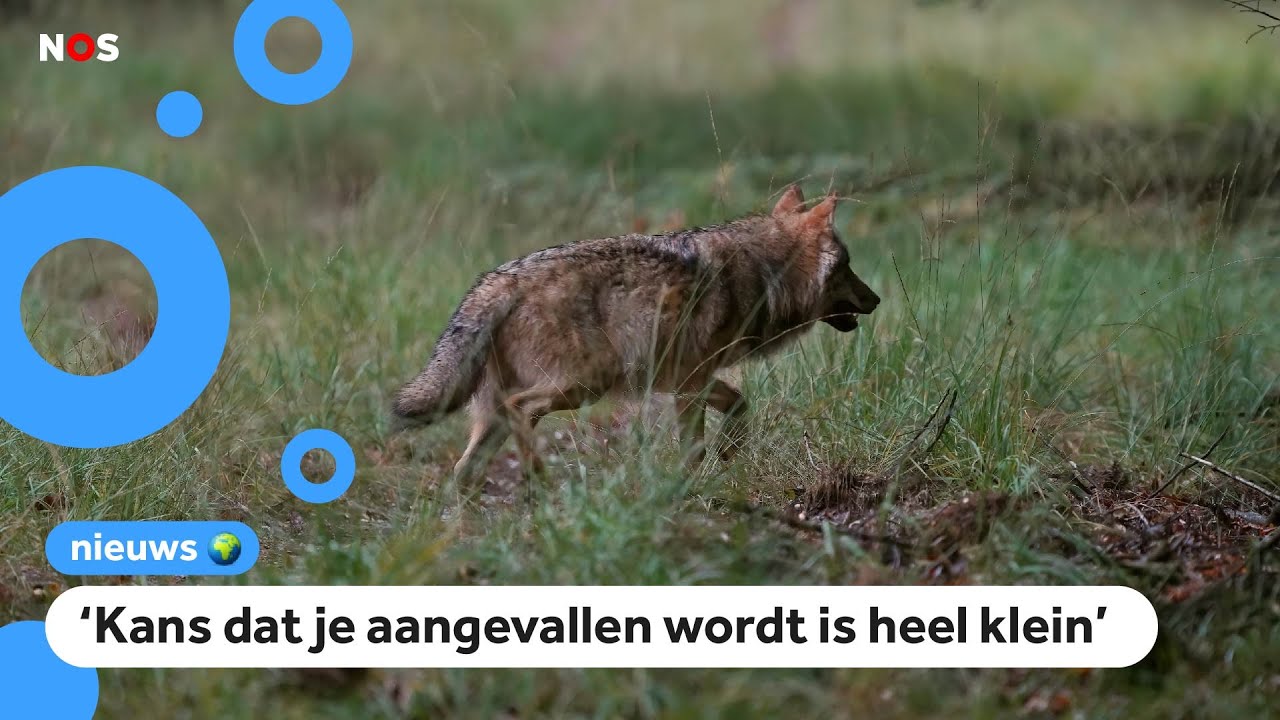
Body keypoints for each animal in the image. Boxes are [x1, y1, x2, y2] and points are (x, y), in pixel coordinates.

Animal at [391, 184, 881, 485]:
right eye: (848, 265)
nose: (877, 299)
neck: (764, 273)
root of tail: (500, 280)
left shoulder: (690, 380)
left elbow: (740, 407)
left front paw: (728, 453)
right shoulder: (689, 386)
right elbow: (694, 449)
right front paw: (688, 487)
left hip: (505, 410)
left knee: (463, 472)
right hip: (584, 386)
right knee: (521, 413)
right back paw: (541, 486)